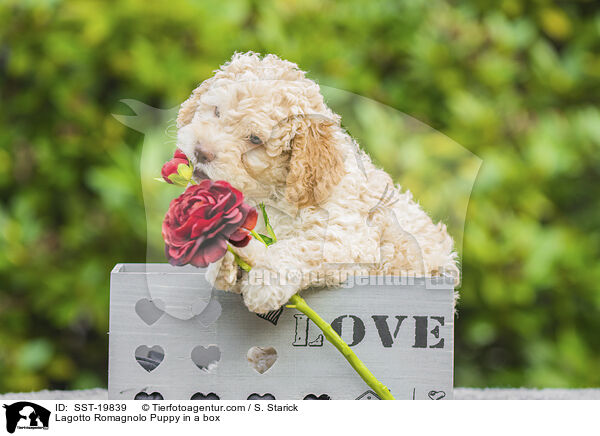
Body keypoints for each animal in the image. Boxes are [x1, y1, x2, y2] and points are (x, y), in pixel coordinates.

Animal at [176, 52, 458, 314]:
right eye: (216, 111)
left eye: (255, 139)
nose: (201, 151)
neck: (271, 194)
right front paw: (225, 261)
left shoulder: (348, 239)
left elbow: (301, 247)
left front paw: (265, 282)